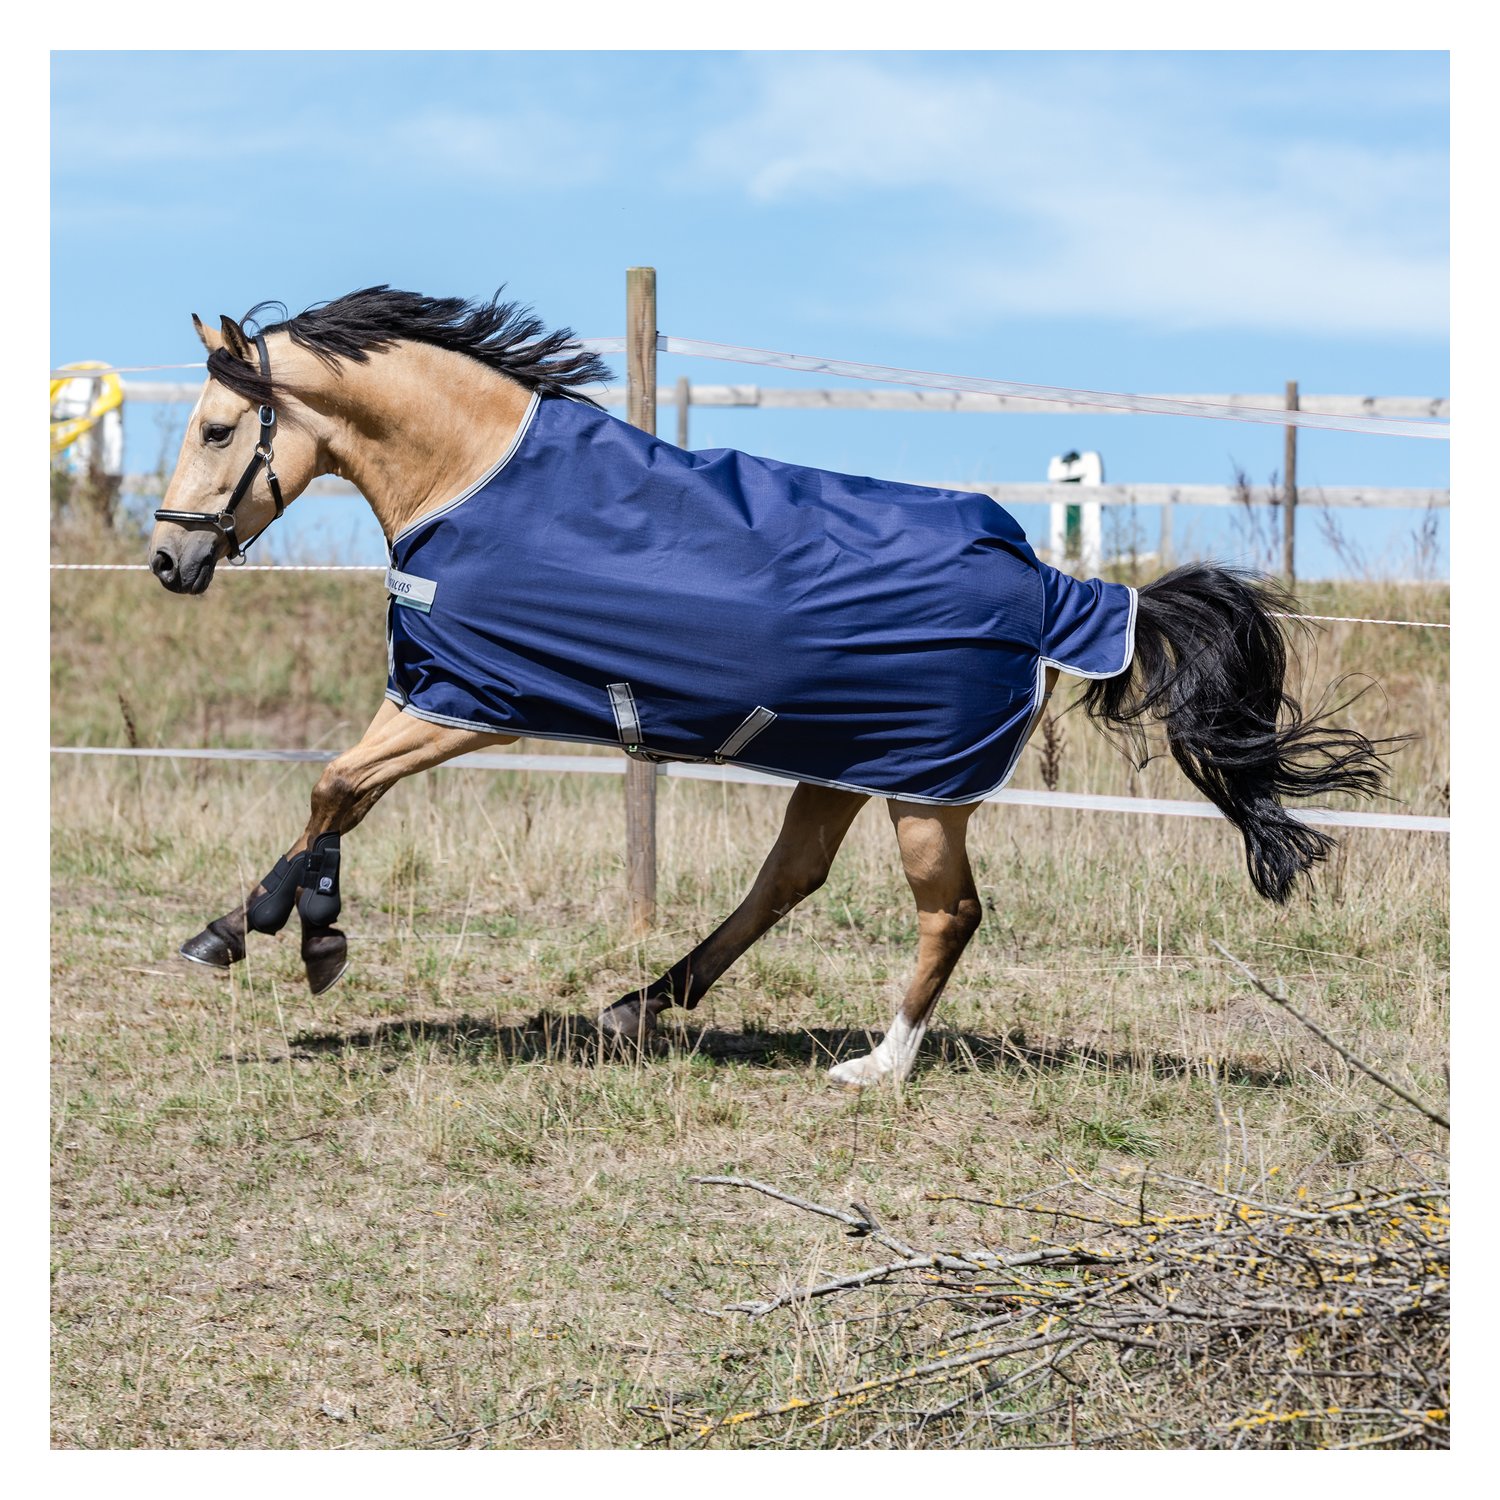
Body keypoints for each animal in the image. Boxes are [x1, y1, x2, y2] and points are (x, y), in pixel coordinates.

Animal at [148, 287, 1392, 1088]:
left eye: (215, 427)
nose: (168, 559)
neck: (475, 477)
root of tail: (1056, 589)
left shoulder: (468, 701)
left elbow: (338, 789)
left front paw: (290, 936)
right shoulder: (432, 693)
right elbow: (337, 793)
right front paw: (253, 930)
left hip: (925, 791)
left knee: (949, 914)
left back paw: (876, 1065)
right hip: (840, 761)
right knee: (787, 882)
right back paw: (639, 1005)